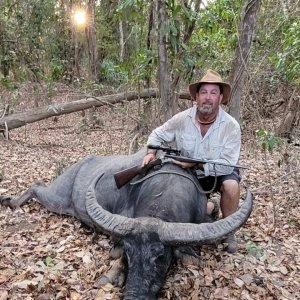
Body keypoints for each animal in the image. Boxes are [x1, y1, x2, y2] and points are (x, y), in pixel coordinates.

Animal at [1, 149, 252, 298]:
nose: (134, 294)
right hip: (57, 199)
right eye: (129, 252)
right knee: (37, 185)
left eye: (160, 256)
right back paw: (10, 201)